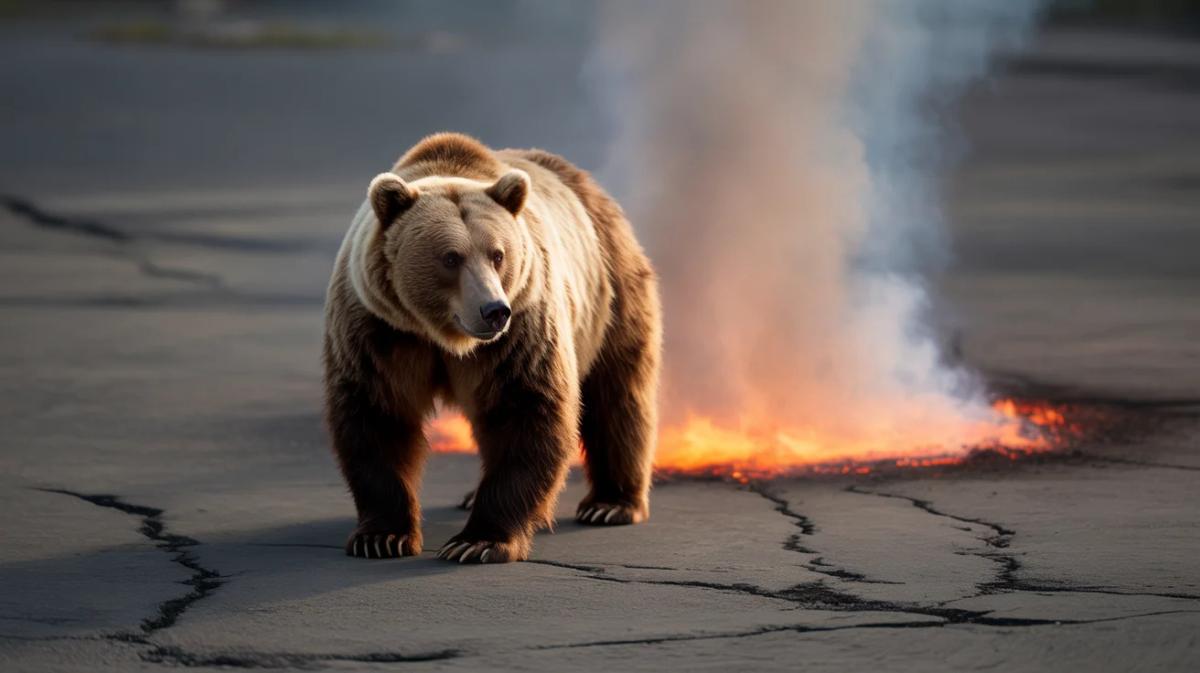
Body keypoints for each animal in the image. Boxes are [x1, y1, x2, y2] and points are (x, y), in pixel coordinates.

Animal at [323, 132, 662, 563]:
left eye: (498, 254)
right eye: (450, 257)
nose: (494, 310)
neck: (444, 337)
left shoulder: (522, 329)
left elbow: (526, 409)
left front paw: (478, 541)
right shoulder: (379, 329)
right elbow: (377, 414)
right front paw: (382, 536)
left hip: (610, 292)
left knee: (617, 394)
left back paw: (611, 504)